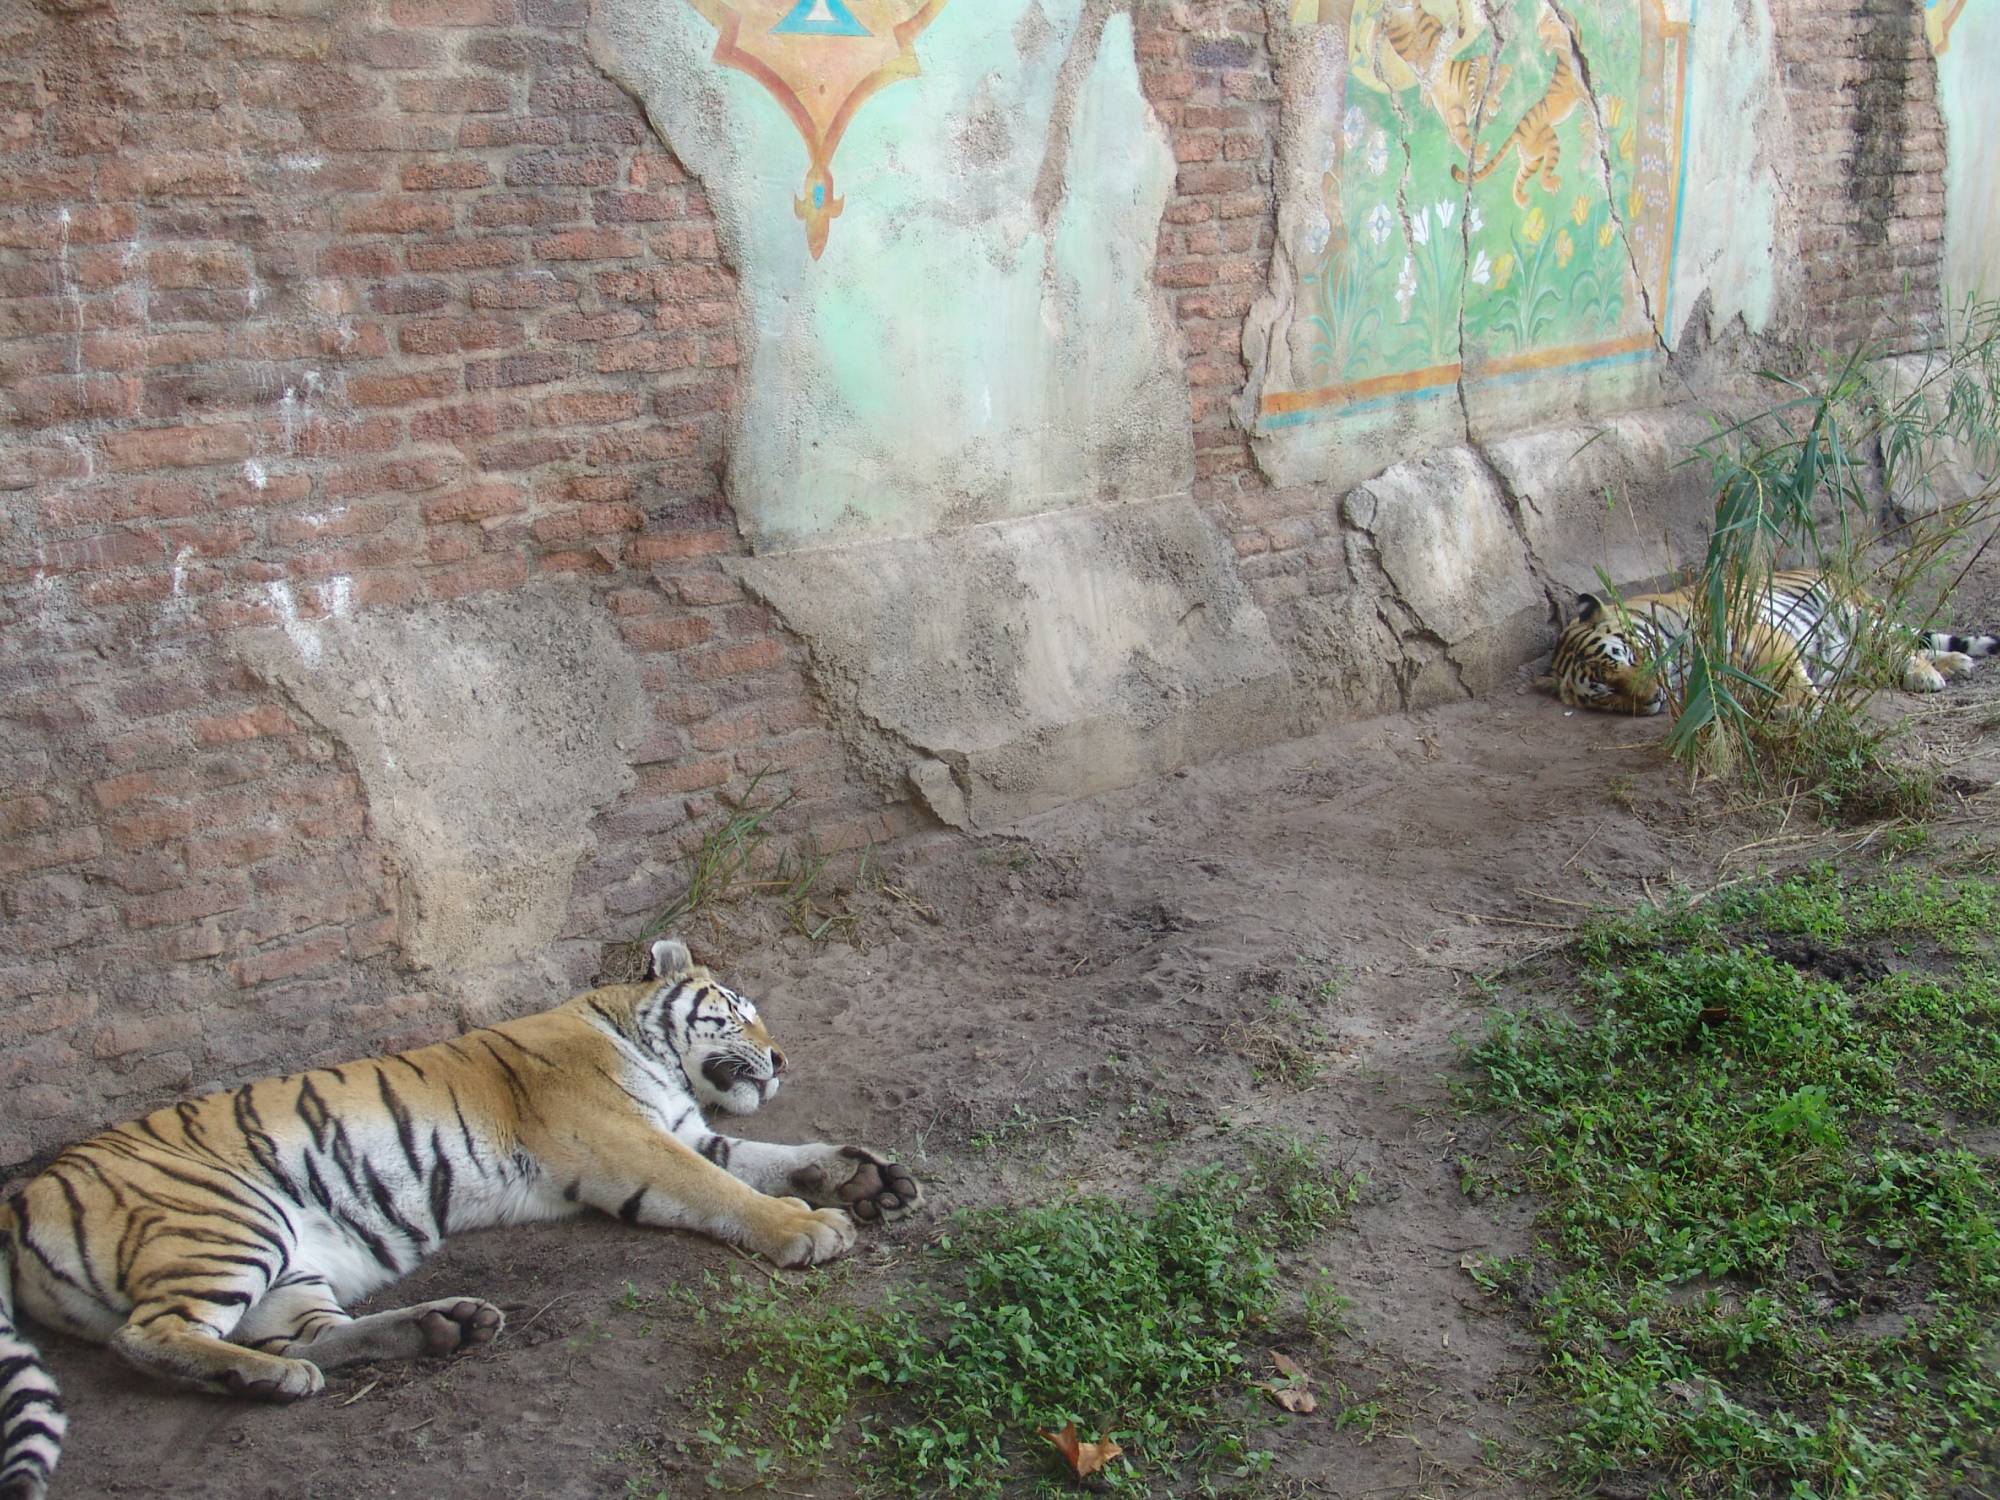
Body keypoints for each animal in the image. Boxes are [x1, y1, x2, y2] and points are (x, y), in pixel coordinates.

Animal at [0, 940, 920, 1500]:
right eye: (734, 1008)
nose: (783, 1057)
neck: (638, 1040)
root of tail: (23, 1193)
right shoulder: (630, 1142)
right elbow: (729, 1191)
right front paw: (810, 1229)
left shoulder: (686, 1131)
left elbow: (769, 1155)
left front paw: (867, 1176)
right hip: (227, 1222)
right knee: (147, 1336)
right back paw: (270, 1376)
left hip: (291, 1266)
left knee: (305, 1337)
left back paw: (432, 1331)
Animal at [1448, 5, 1584, 212]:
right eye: (1543, 21)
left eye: (1549, 20)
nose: (1538, 30)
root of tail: (1517, 131)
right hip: (1548, 140)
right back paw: (1550, 184)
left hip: (1531, 157)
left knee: (1520, 178)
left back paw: (1521, 200)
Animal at [1536, 568, 1992, 724]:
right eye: (1605, 693)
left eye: (1628, 656)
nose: (1651, 698)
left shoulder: (1758, 633)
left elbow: (1787, 674)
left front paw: (1806, 707)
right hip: (1849, 653)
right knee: (1886, 655)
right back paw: (1956, 663)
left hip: (1859, 619)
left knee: (1900, 646)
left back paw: (1931, 672)